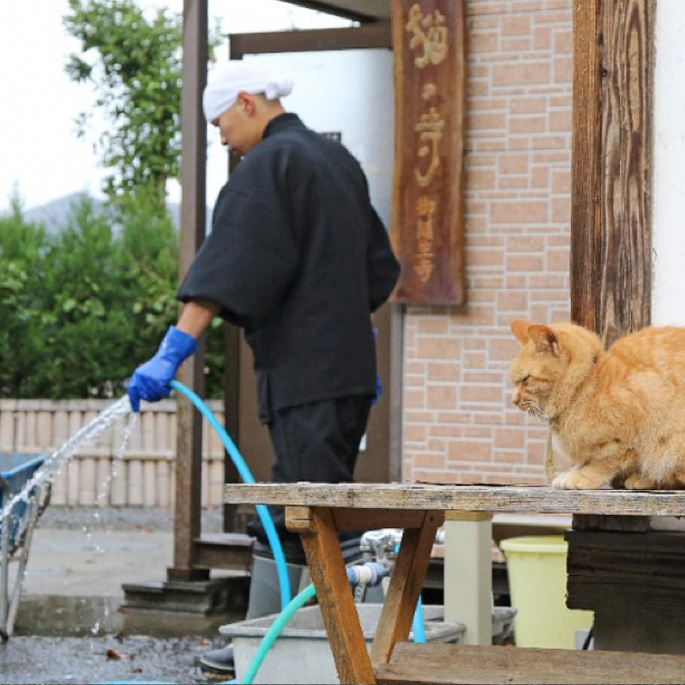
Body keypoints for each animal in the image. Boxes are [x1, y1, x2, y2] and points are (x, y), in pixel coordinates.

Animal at [508, 318, 685, 488]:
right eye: (515, 382)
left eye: (525, 379)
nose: (513, 400)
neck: (582, 385)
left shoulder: (624, 438)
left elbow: (603, 463)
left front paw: (582, 476)